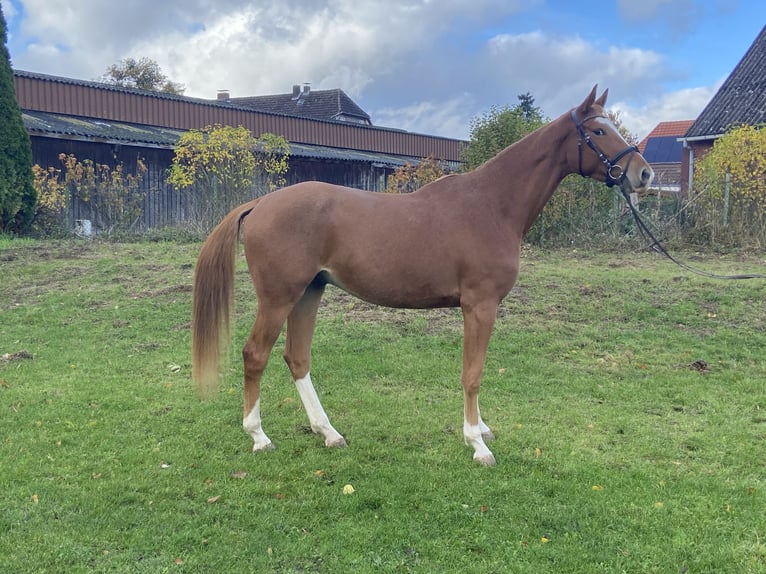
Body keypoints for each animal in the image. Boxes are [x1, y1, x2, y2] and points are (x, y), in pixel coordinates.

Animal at [192, 86, 653, 466]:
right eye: (598, 130)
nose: (643, 174)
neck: (491, 205)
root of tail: (259, 204)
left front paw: (480, 430)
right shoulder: (479, 306)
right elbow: (472, 373)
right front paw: (476, 442)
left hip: (309, 292)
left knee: (297, 358)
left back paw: (329, 433)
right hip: (279, 296)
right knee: (255, 354)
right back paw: (259, 437)